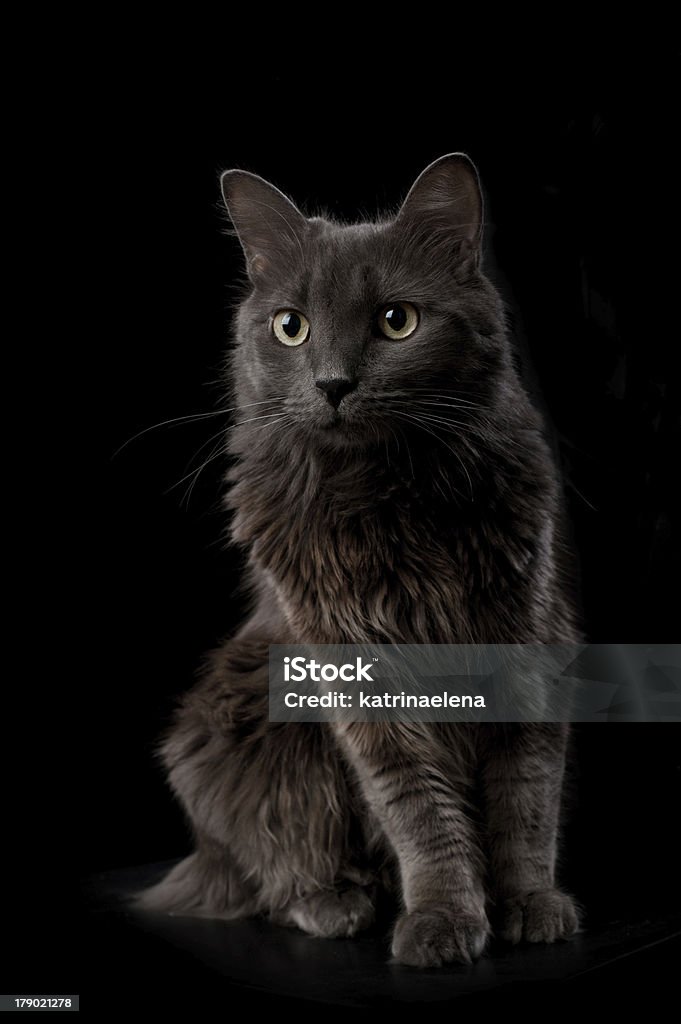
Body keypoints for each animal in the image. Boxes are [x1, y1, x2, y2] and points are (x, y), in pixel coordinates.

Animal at [137, 153, 577, 966]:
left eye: (396, 320)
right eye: (291, 327)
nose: (333, 384)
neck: (388, 500)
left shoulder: (527, 633)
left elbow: (525, 795)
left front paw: (529, 905)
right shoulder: (356, 672)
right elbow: (418, 808)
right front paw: (443, 918)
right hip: (239, 729)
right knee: (271, 869)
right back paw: (339, 903)